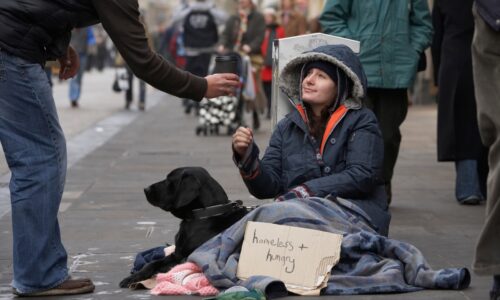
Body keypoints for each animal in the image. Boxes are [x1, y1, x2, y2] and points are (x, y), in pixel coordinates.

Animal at [119, 168, 248, 288]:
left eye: (169, 180)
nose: (146, 189)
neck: (203, 215)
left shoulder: (188, 257)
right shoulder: (177, 254)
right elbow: (152, 264)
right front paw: (132, 278)